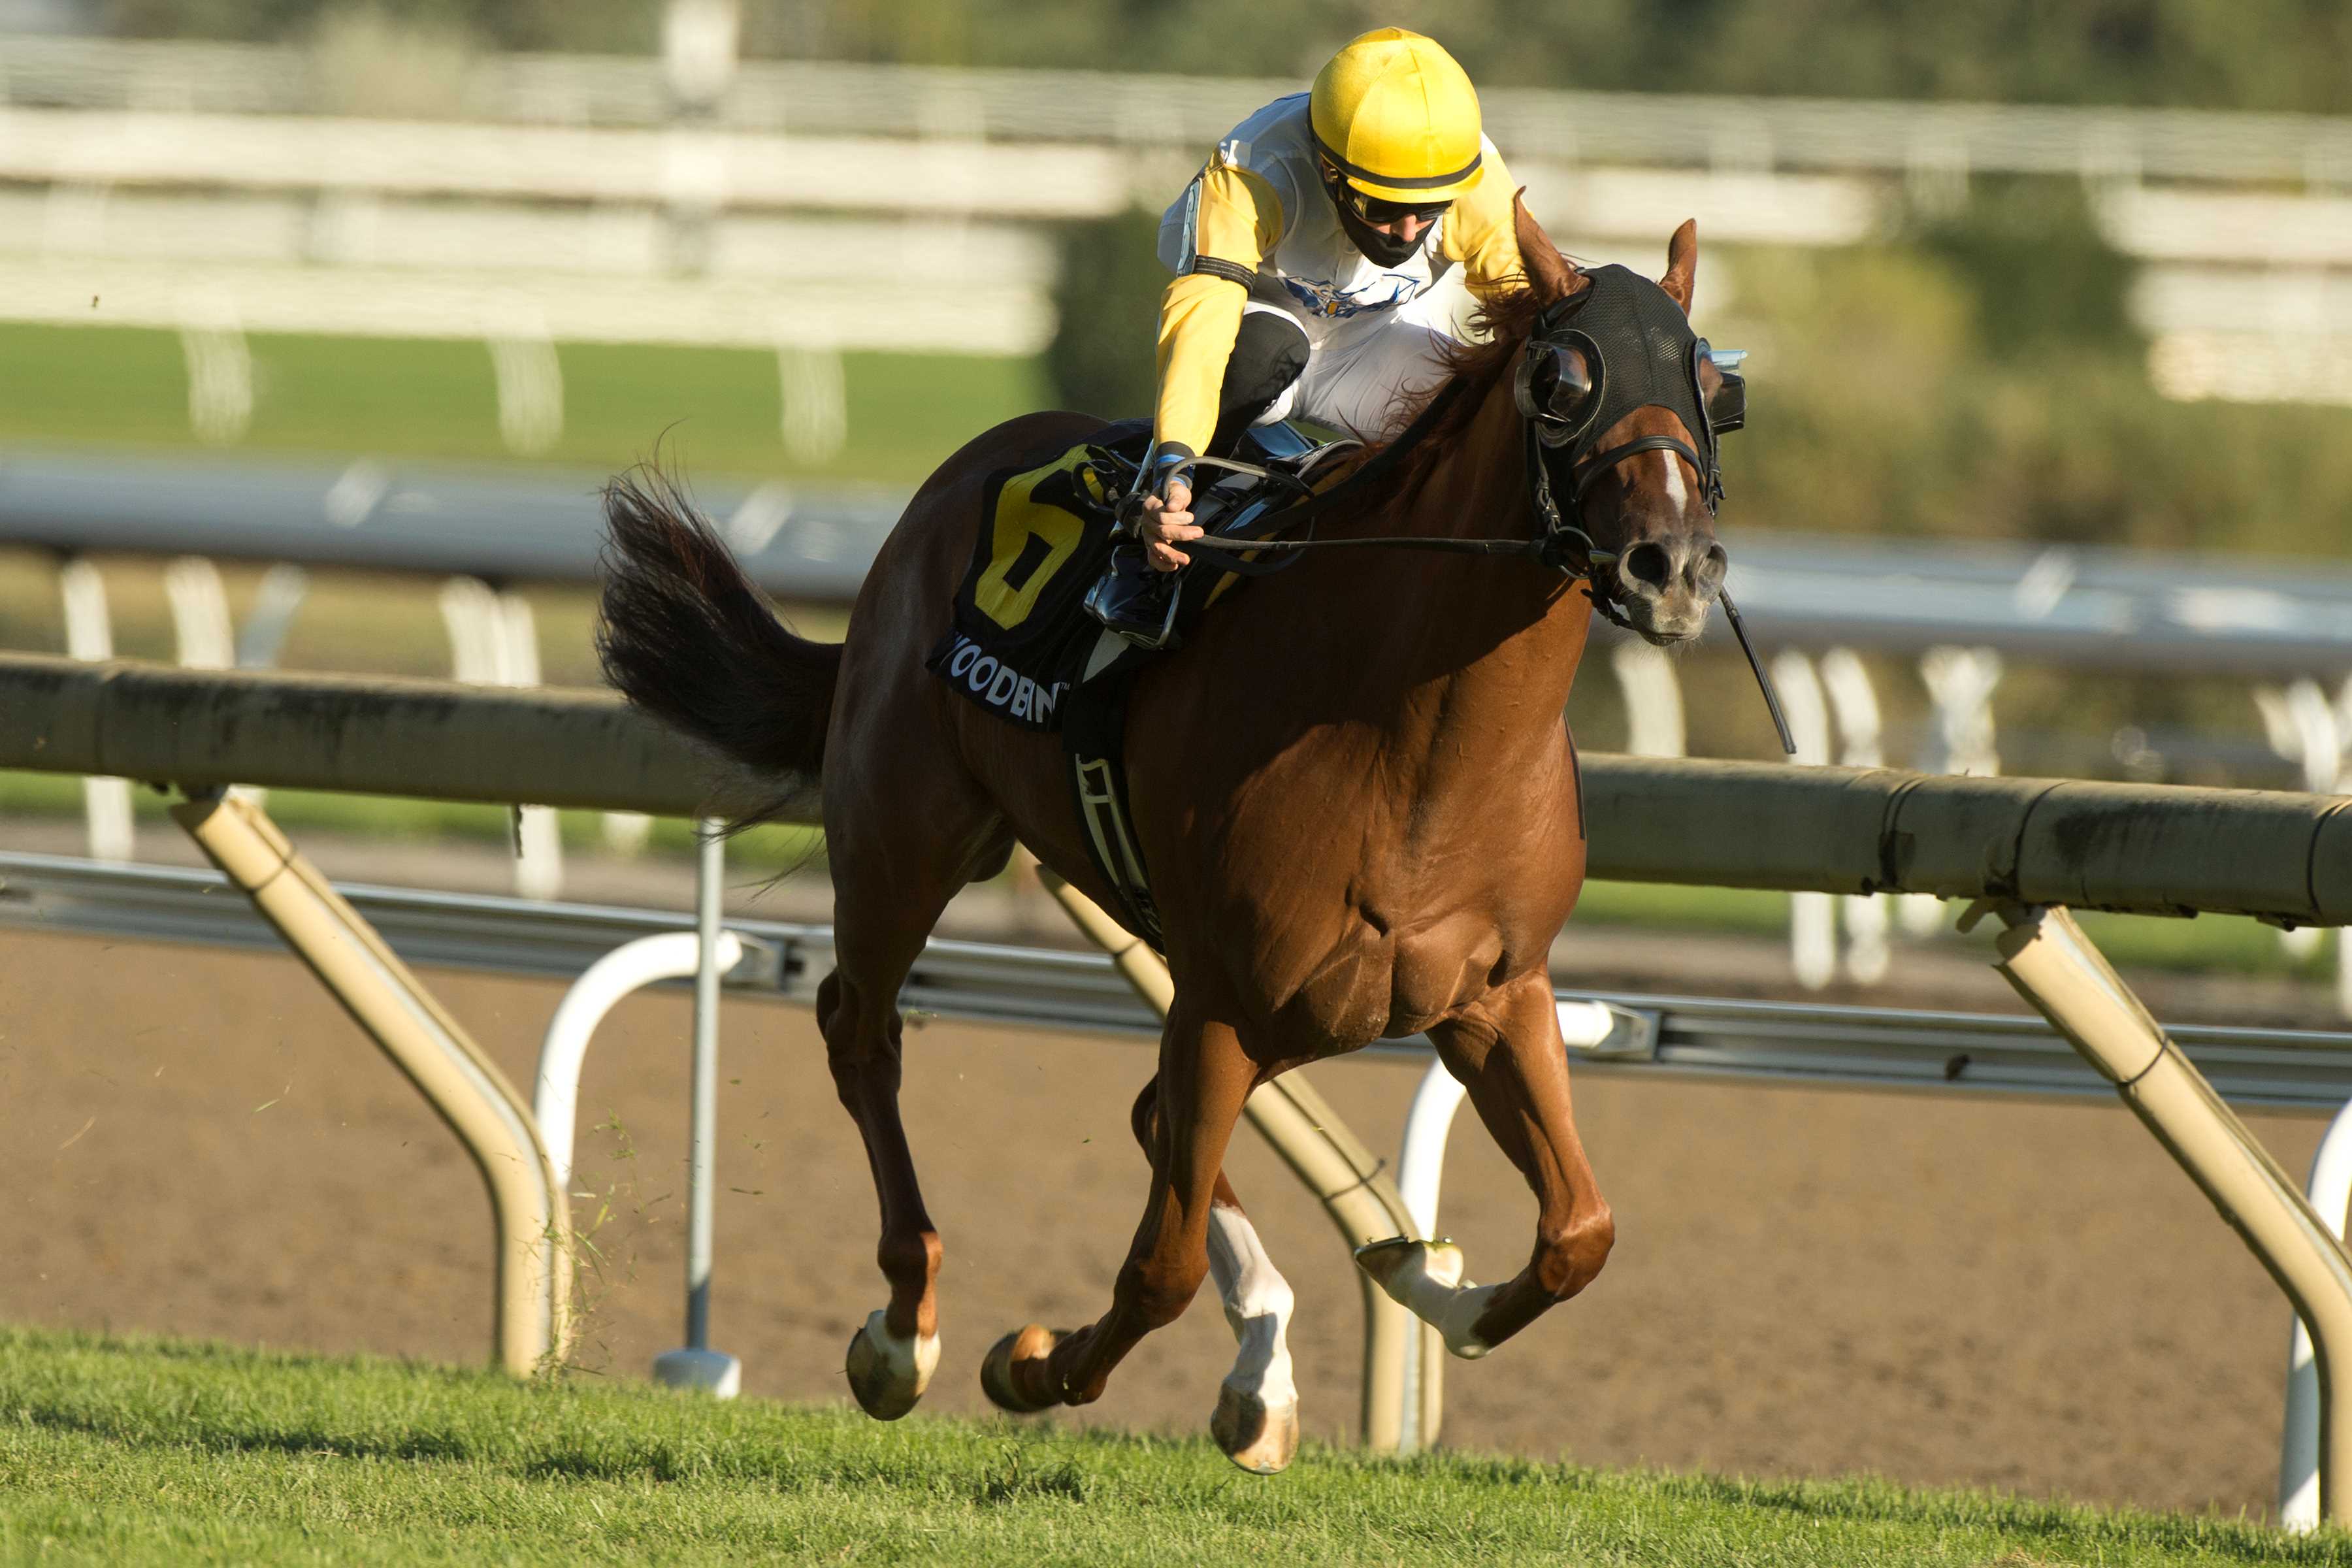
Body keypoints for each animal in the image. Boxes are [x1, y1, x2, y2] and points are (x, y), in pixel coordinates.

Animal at [597, 205, 1740, 1476]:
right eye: (1563, 383)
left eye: (1712, 384)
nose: (1672, 566)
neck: (1416, 740)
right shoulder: (1227, 1002)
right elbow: (1160, 1267)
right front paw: (1033, 1364)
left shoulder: (1491, 994)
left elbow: (1579, 1232)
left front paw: (1427, 1280)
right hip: (906, 835)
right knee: (862, 1031)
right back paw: (905, 1334)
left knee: (1146, 1110)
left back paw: (1263, 1370)